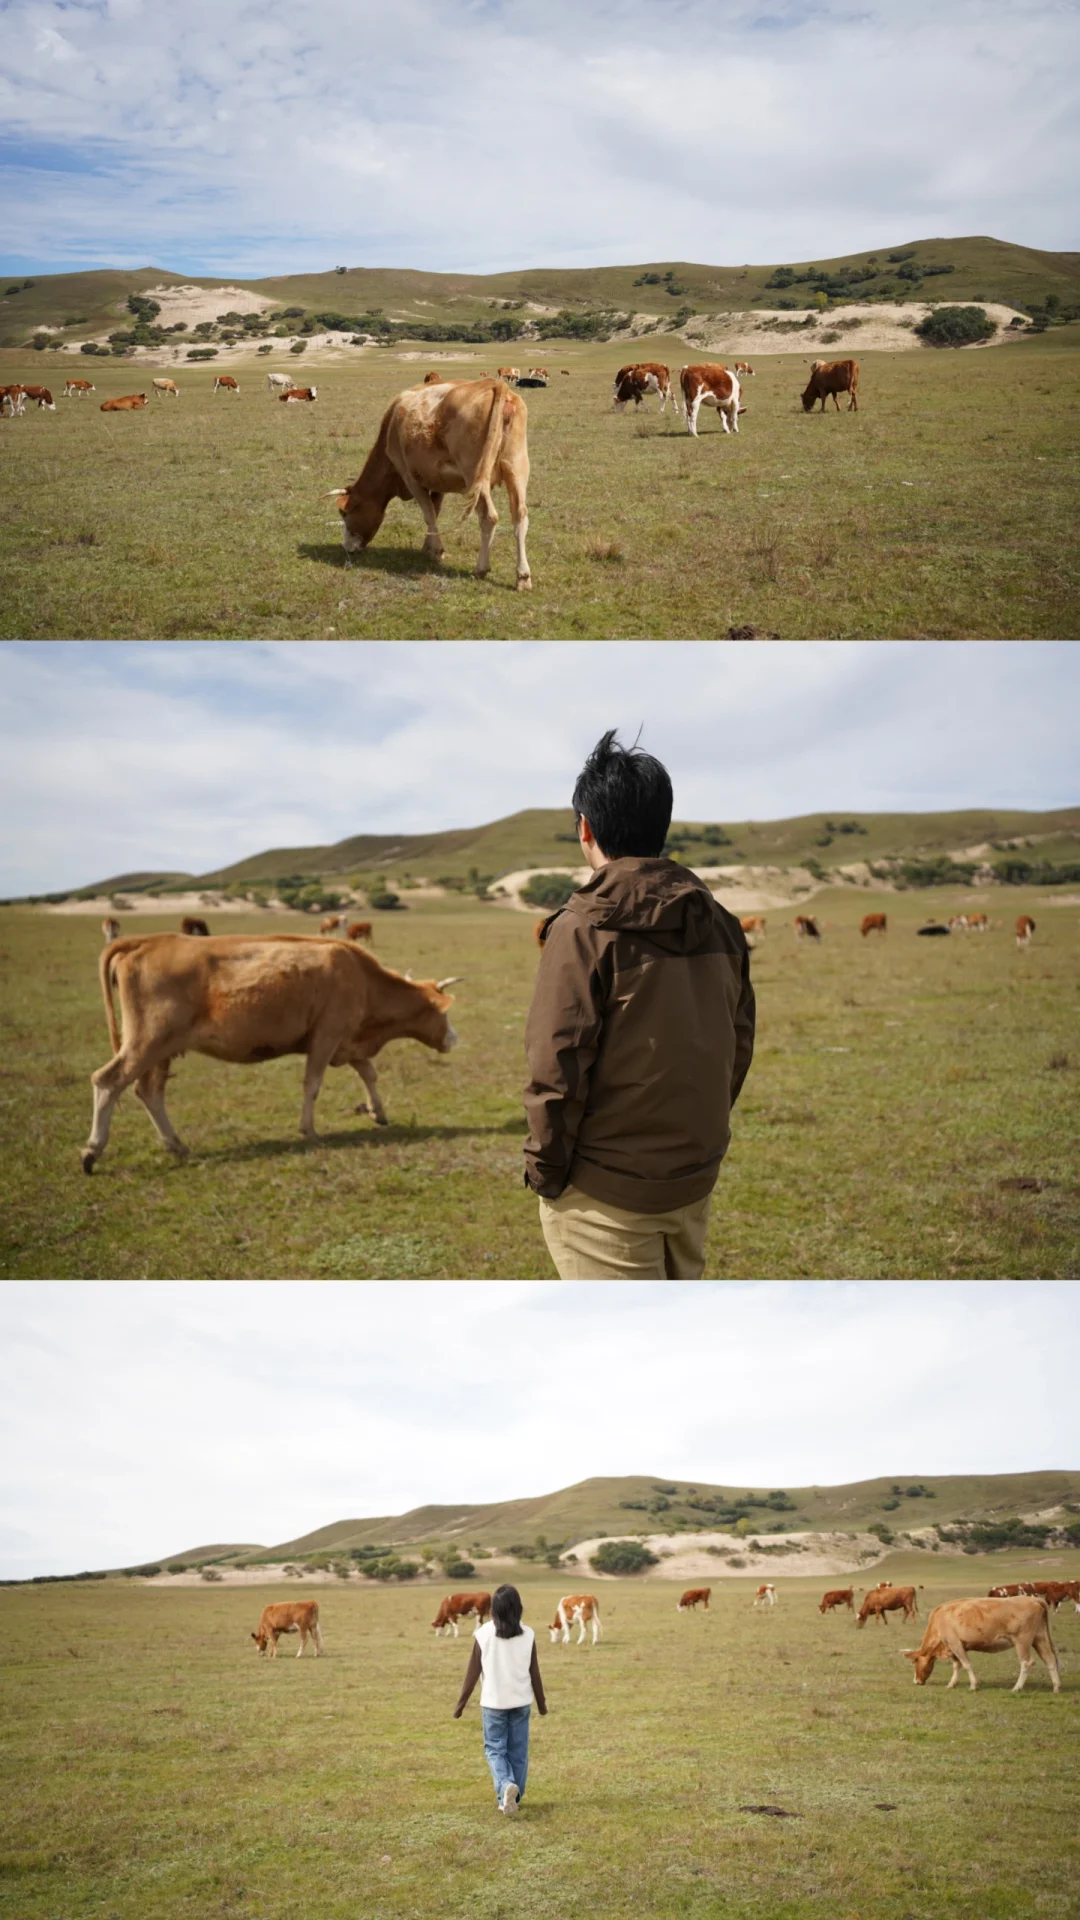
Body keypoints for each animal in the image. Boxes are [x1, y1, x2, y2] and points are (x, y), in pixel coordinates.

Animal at [78, 929, 457, 1167]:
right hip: (146, 1042)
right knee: (108, 1080)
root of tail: (144, 942)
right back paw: (93, 1151)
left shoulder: (347, 1042)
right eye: (443, 1013)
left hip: (161, 1049)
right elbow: (312, 1084)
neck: (362, 979)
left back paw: (176, 1145)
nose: (454, 1038)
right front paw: (309, 1130)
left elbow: (369, 1073)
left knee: (149, 1091)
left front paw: (378, 1112)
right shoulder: (327, 1036)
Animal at [328, 372, 530, 583]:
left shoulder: (410, 477)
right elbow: (435, 509)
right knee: (520, 516)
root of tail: (494, 384)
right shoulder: (438, 481)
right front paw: (428, 546)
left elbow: (428, 513)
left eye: (345, 514)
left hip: (474, 476)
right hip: (516, 470)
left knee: (488, 517)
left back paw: (481, 569)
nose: (345, 547)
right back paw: (523, 576)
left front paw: (436, 551)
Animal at [899, 1589, 1060, 1697]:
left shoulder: (955, 1643)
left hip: (1022, 1641)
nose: (916, 1681)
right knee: (1050, 1660)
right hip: (1039, 1638)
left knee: (1026, 1662)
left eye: (914, 1662)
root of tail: (1034, 1600)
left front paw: (973, 1685)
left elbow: (966, 1665)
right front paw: (952, 1684)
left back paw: (1017, 1687)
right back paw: (1056, 1687)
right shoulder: (955, 1647)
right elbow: (956, 1666)